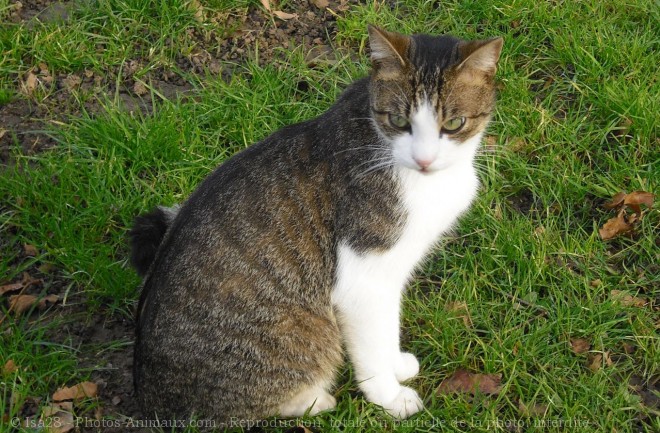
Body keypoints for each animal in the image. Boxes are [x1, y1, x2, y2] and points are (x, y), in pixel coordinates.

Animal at [129, 24, 502, 426]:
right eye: (399, 122)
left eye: (454, 124)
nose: (424, 159)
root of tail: (150, 402)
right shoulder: (363, 279)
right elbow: (373, 345)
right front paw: (389, 397)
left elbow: (388, 328)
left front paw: (396, 364)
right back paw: (315, 399)